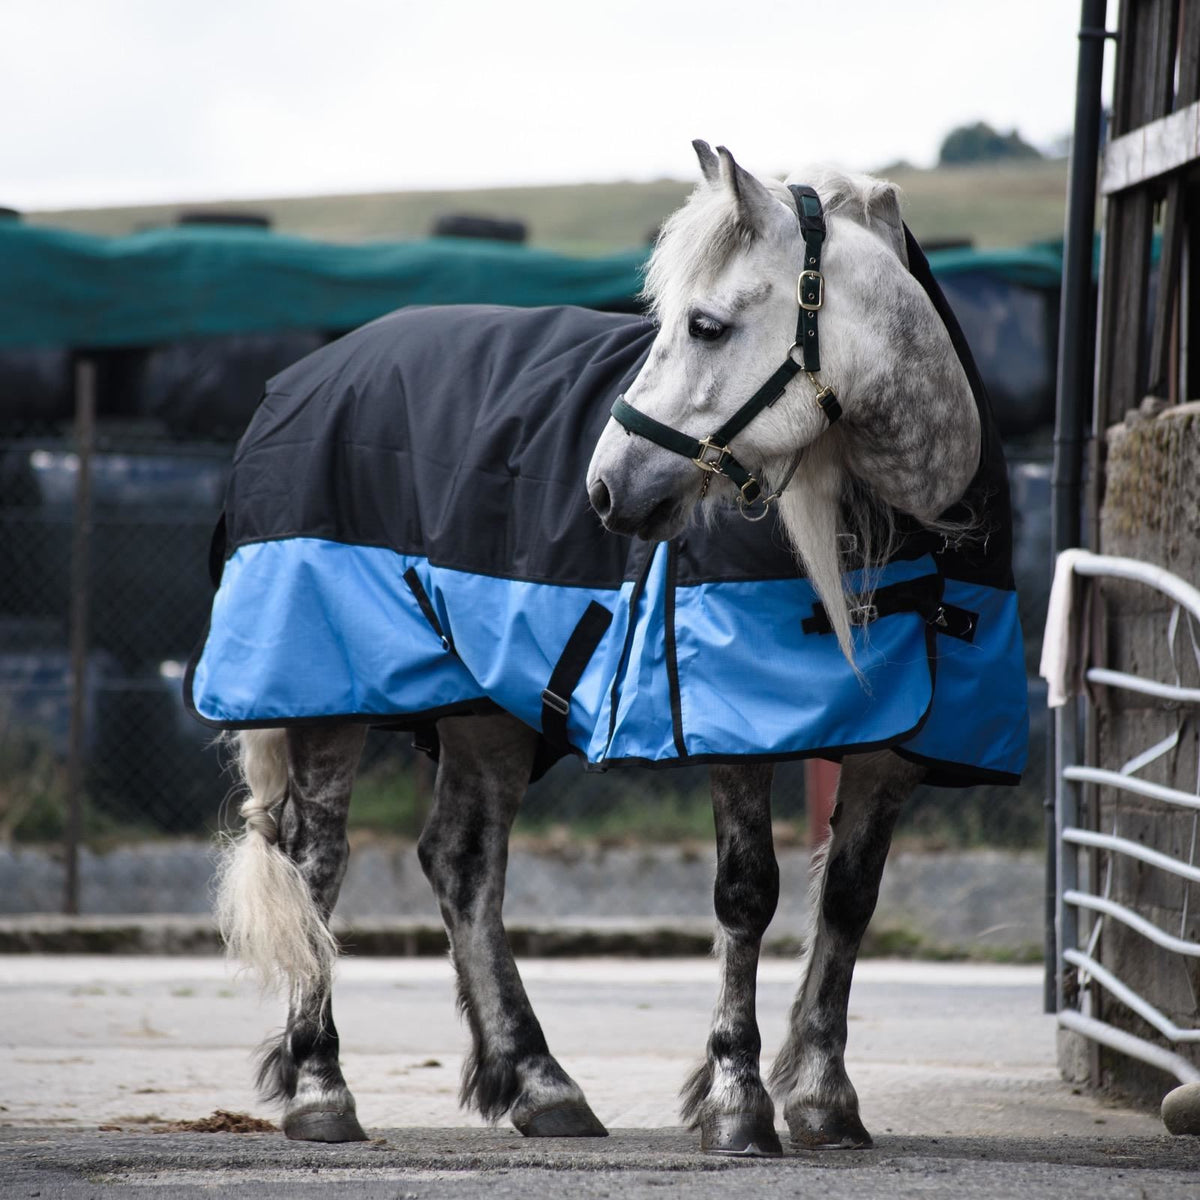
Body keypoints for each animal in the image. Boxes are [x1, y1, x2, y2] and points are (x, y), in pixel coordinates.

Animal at [199, 141, 1027, 1157]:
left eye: (706, 326)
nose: (604, 487)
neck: (906, 519)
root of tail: (300, 380)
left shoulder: (898, 749)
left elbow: (849, 901)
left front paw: (826, 1097)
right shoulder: (732, 731)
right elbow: (747, 894)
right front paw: (736, 1101)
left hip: (484, 711)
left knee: (462, 864)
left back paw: (539, 1082)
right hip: (327, 696)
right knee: (317, 865)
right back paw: (323, 1090)